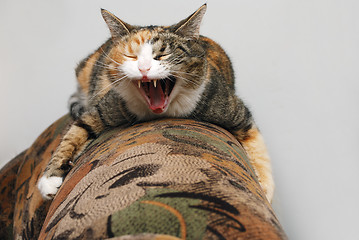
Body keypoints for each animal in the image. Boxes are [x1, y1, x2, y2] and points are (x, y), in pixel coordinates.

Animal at [37, 4, 276, 202]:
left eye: (162, 54)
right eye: (130, 56)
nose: (143, 68)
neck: (162, 111)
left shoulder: (232, 110)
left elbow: (257, 147)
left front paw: (264, 189)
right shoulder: (107, 107)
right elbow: (75, 132)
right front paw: (50, 180)